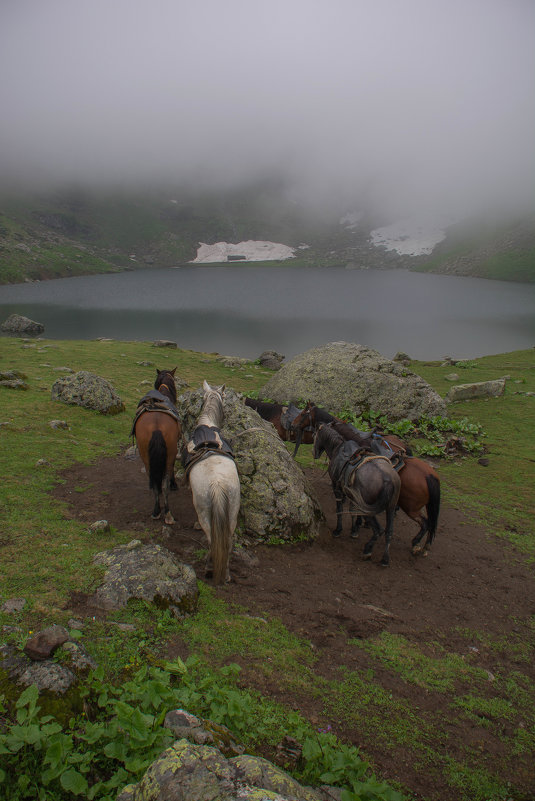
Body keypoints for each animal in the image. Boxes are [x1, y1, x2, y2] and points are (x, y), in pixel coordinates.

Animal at [133, 366, 183, 520]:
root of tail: (156, 425)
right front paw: (174, 484)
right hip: (169, 454)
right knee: (164, 482)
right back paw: (166, 511)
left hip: (145, 456)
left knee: (154, 481)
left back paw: (156, 510)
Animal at [185, 382, 242, 580]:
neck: (208, 423)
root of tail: (217, 484)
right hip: (232, 512)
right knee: (227, 542)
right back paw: (226, 574)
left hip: (204, 513)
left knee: (212, 540)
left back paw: (210, 567)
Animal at [316, 422, 400, 564]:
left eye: (315, 435)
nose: (315, 453)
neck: (337, 448)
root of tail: (388, 481)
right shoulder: (352, 494)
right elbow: (352, 510)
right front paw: (354, 529)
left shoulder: (337, 488)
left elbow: (340, 509)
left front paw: (339, 530)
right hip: (391, 507)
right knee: (389, 531)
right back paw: (385, 558)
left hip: (370, 508)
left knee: (379, 530)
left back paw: (367, 550)